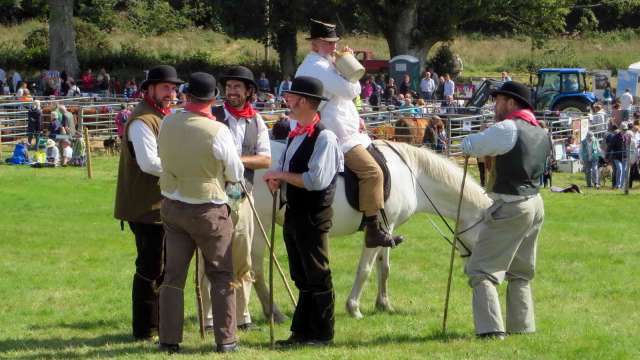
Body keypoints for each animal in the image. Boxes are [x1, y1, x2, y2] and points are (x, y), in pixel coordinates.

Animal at [249, 140, 490, 320]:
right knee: (256, 269)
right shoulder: (377, 230)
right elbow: (365, 269)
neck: (413, 176)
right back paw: (274, 313)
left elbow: (384, 268)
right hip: (261, 224)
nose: (472, 271)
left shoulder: (388, 229)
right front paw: (353, 307)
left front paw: (384, 304)